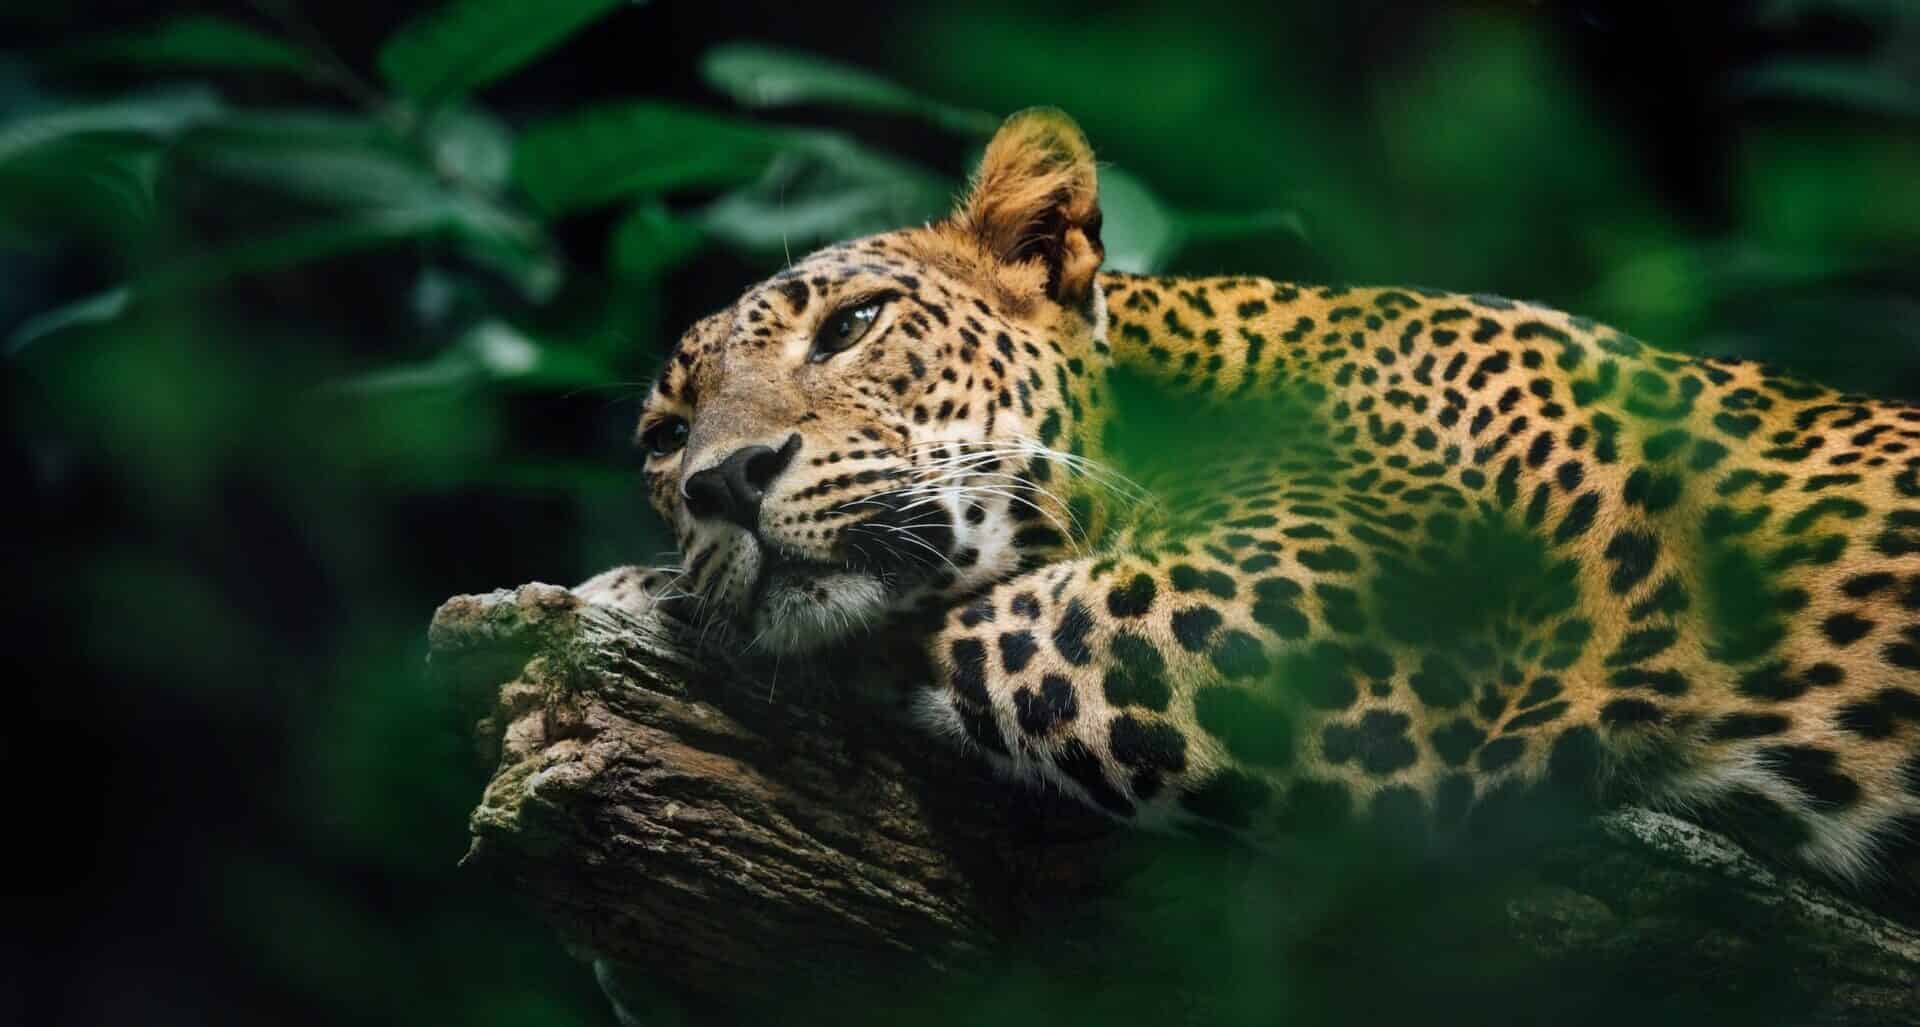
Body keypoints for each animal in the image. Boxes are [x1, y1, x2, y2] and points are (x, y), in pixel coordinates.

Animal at [579, 106, 1920, 898]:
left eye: (853, 324)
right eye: (663, 436)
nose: (720, 483)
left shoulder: (1280, 627)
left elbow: (943, 619)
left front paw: (634, 592)